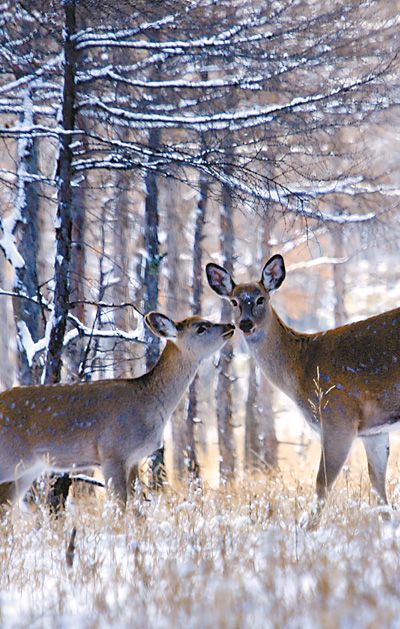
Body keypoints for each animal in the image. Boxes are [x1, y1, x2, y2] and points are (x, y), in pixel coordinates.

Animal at [0, 312, 234, 508]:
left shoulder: (133, 458)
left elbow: (136, 507)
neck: (150, 403)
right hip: (10, 459)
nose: (230, 325)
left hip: (29, 469)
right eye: (201, 327)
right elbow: (119, 506)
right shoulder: (112, 451)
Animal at [206, 253, 400, 524]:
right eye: (234, 301)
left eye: (260, 298)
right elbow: (378, 489)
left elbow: (322, 484)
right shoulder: (374, 430)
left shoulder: (338, 415)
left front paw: (308, 527)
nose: (245, 323)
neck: (301, 369)